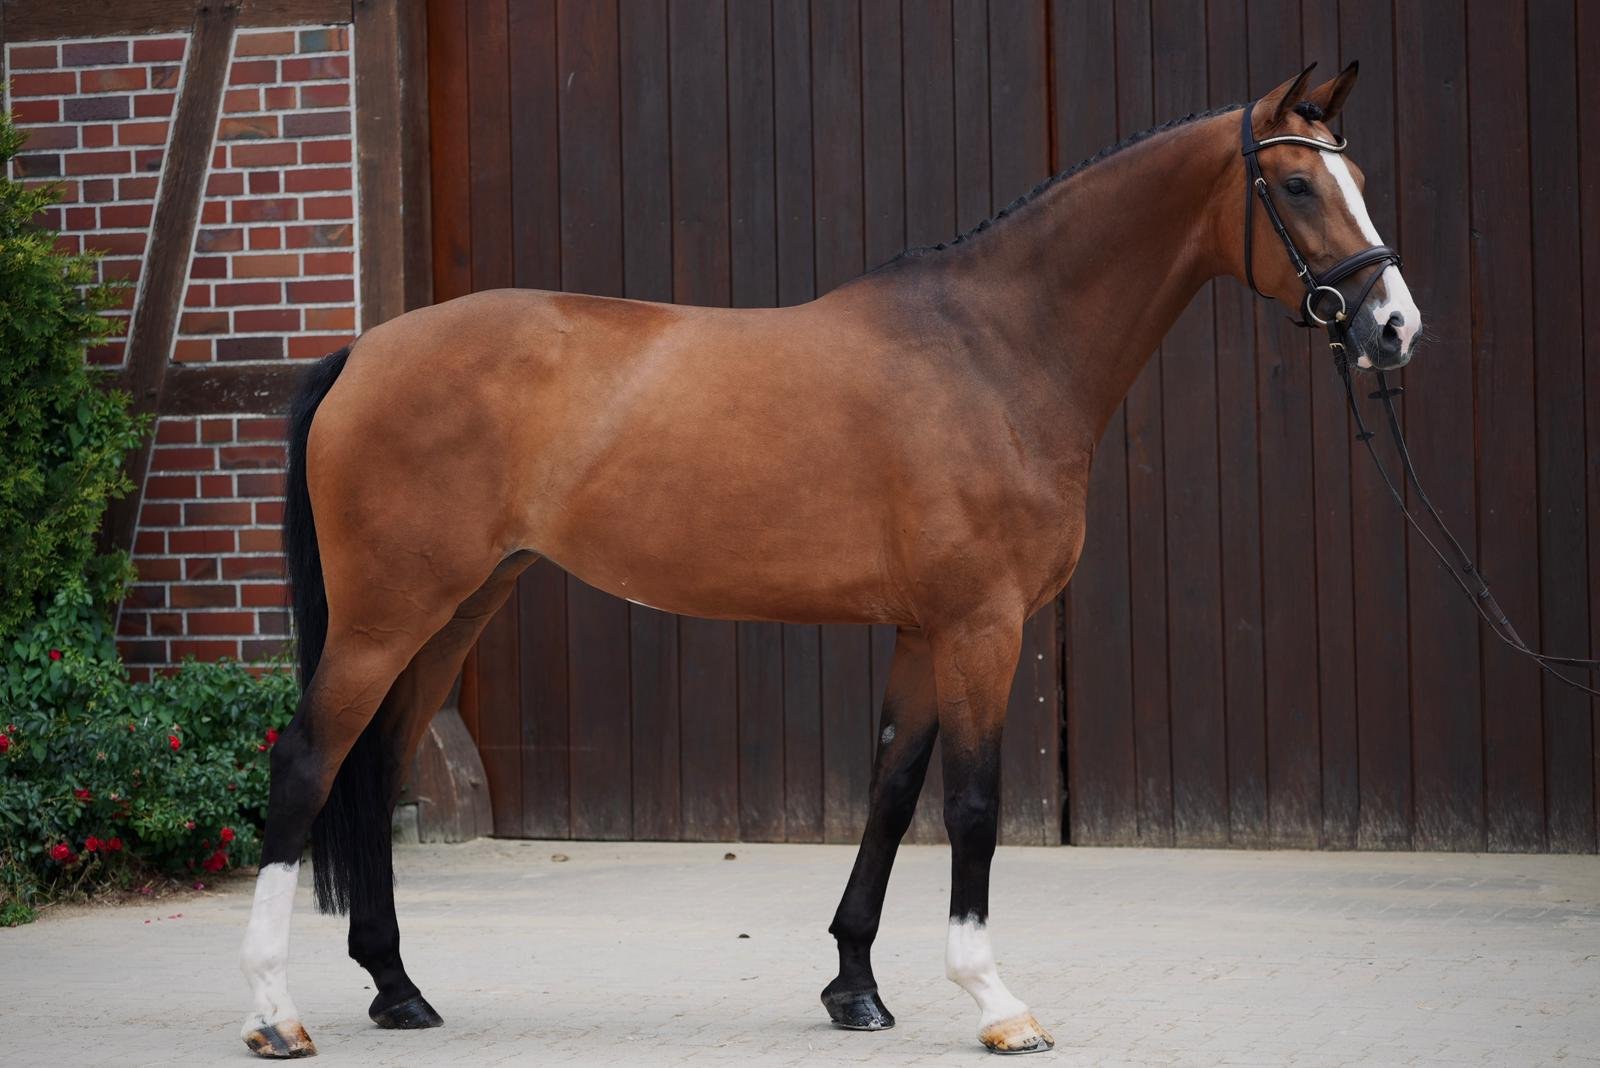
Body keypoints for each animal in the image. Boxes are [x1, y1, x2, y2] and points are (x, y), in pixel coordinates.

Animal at [238, 63, 1421, 1058]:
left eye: (1359, 178)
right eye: (1295, 184)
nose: (1394, 327)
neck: (996, 353)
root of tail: (360, 352)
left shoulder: (922, 632)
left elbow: (891, 794)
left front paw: (854, 986)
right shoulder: (983, 626)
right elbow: (974, 806)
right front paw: (996, 1002)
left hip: (456, 611)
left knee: (378, 768)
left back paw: (398, 989)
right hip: (387, 616)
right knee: (305, 766)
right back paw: (275, 1014)